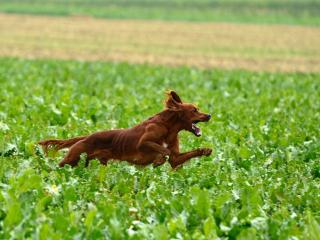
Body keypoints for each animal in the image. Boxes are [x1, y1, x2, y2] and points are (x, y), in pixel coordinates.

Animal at [38, 90, 211, 169]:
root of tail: (86, 137)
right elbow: (164, 150)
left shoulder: (175, 159)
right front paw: (158, 160)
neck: (169, 127)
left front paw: (206, 150)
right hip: (73, 158)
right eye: (194, 110)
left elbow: (179, 155)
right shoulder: (143, 142)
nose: (209, 115)